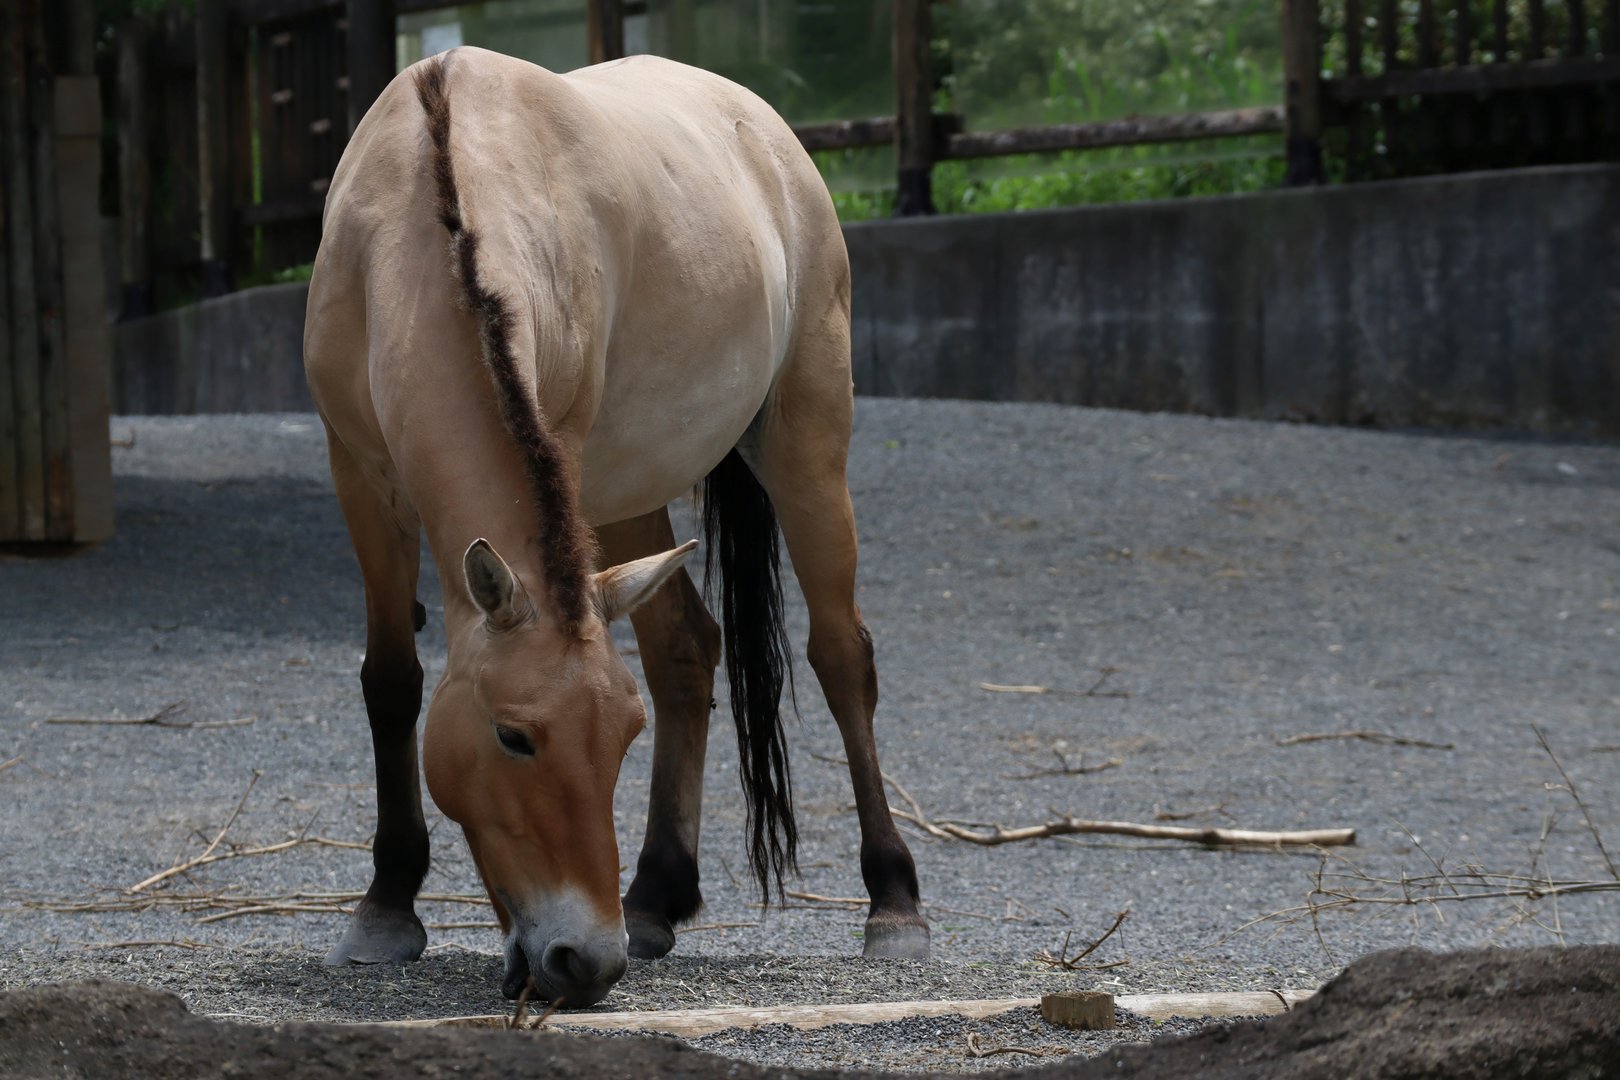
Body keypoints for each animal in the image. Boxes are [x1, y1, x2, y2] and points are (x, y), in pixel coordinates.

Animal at [302, 46, 929, 1007]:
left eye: (621, 737)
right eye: (514, 736)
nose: (584, 961)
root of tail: (762, 127)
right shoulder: (358, 477)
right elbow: (391, 682)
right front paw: (386, 908)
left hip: (807, 441)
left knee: (839, 656)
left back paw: (892, 902)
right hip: (628, 493)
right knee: (684, 648)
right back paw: (657, 897)